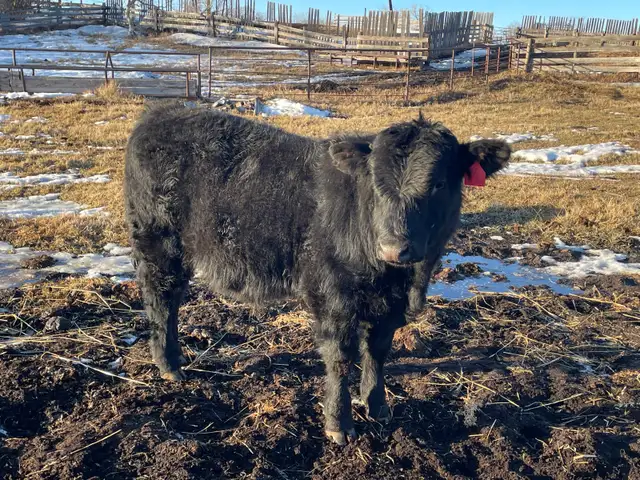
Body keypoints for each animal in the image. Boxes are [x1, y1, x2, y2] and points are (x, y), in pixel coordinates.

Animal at [124, 104, 510, 445]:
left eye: (440, 184)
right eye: (375, 181)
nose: (393, 247)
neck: (400, 278)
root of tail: (160, 114)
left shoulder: (389, 306)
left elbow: (378, 350)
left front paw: (378, 406)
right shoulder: (332, 295)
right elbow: (340, 358)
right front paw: (339, 424)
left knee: (172, 300)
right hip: (158, 240)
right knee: (161, 299)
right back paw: (168, 364)